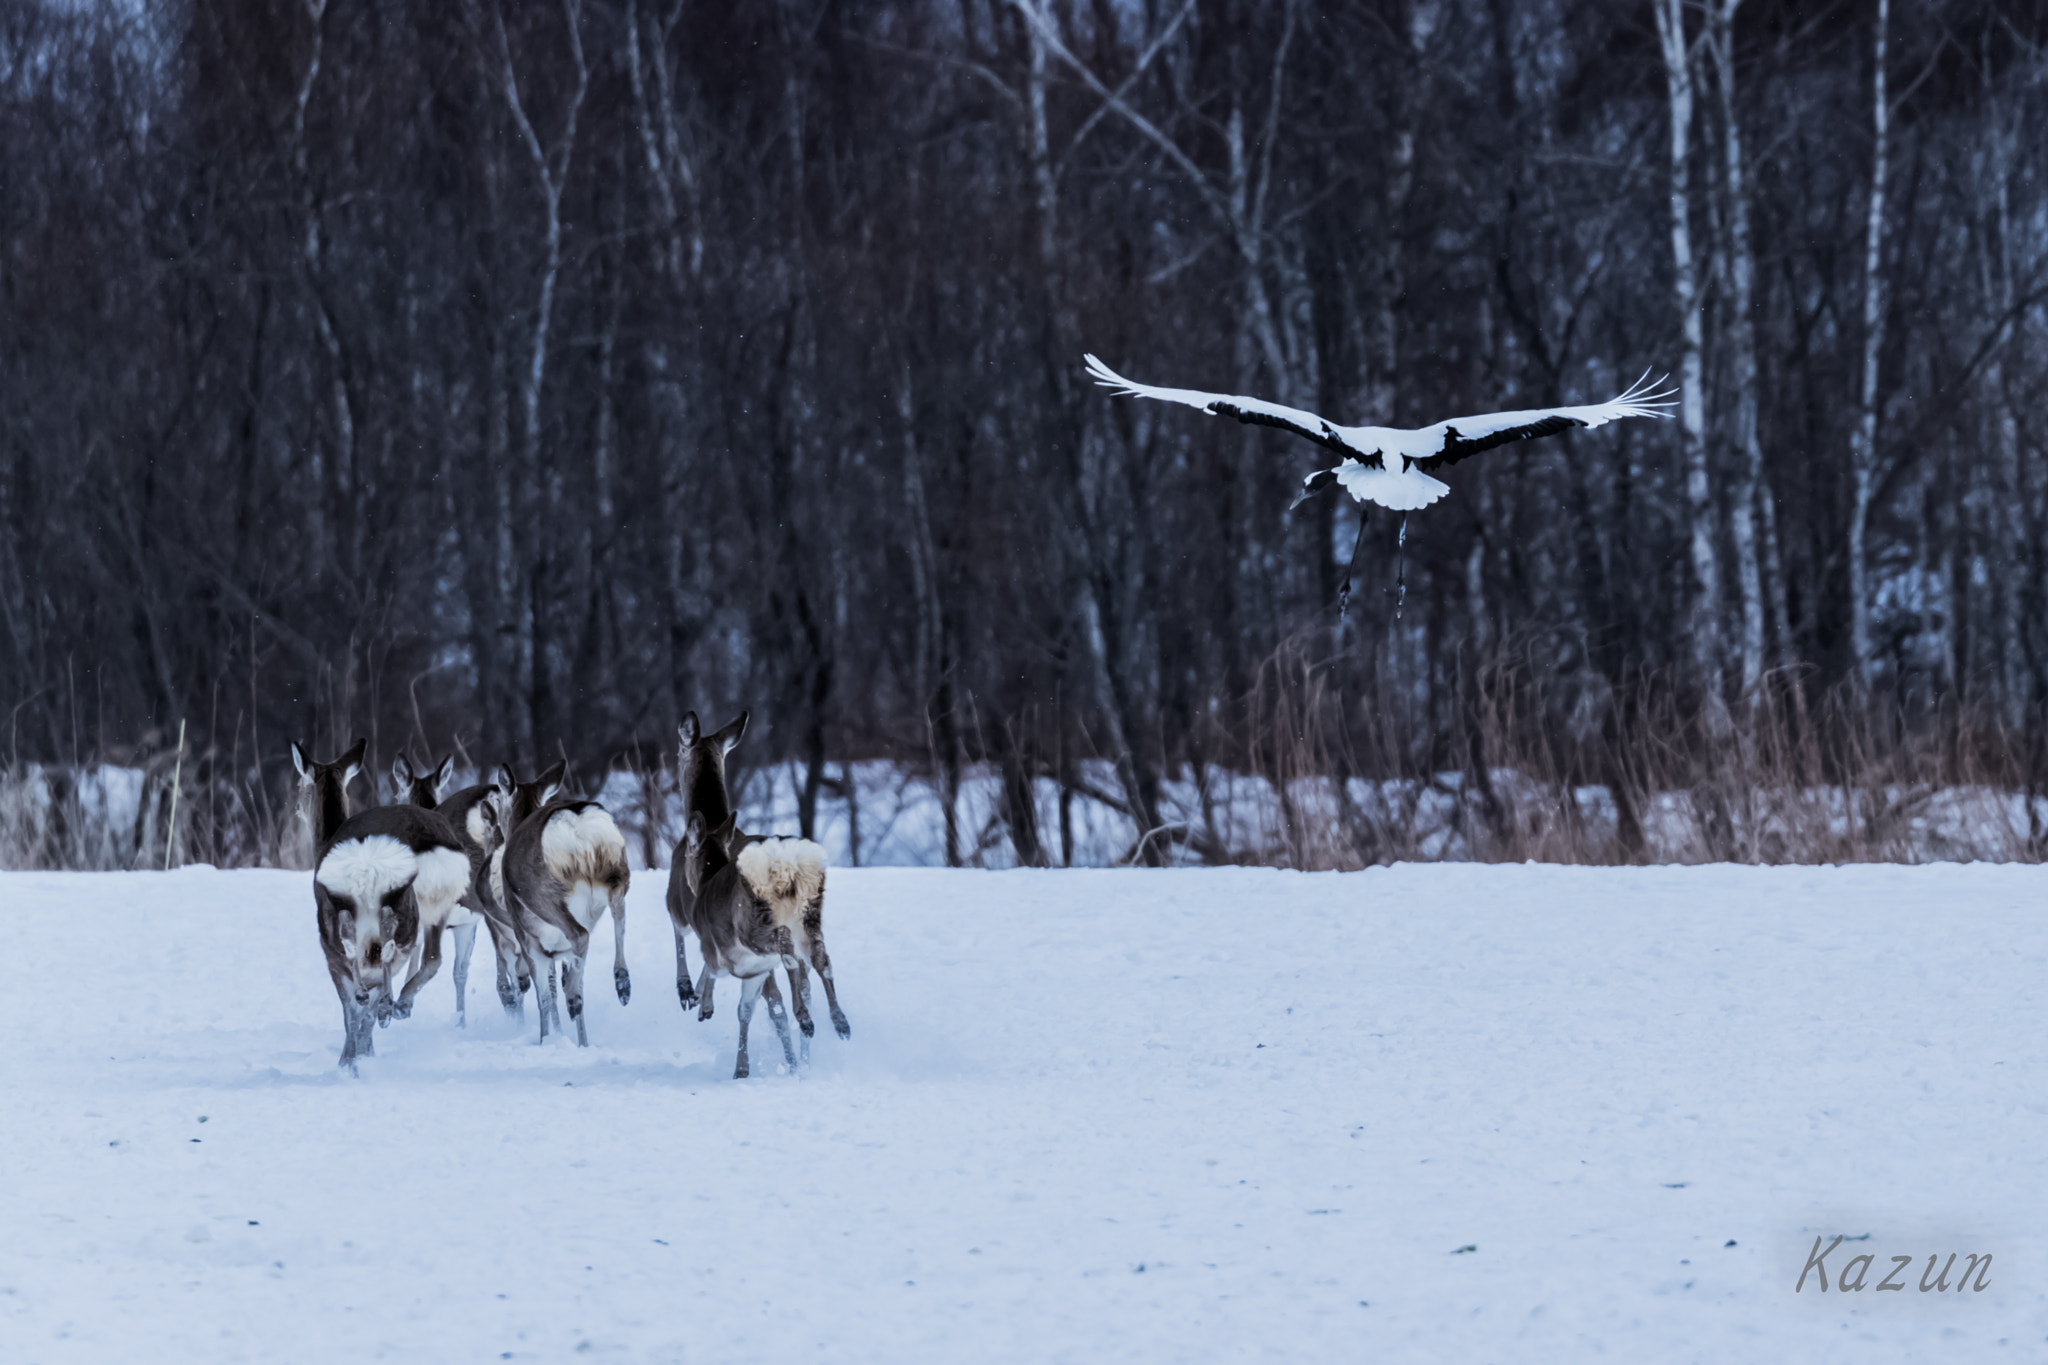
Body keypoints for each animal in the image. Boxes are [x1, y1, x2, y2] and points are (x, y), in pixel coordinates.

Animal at [293, 739, 471, 1074]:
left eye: (299, 784)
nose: (295, 808)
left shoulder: (331, 950)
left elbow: (350, 1010)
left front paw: (350, 1059)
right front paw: (363, 1051)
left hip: (359, 915)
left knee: (370, 952)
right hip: (439, 908)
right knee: (431, 958)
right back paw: (396, 1006)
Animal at [490, 759, 631, 1046]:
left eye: (498, 800)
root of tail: (575, 824)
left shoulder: (527, 937)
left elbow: (543, 997)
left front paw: (544, 1040)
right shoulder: (558, 951)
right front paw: (582, 1044)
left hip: (540, 892)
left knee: (580, 934)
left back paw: (573, 998)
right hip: (617, 868)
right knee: (618, 918)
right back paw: (622, 982)